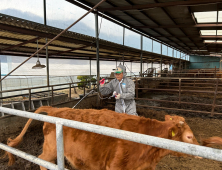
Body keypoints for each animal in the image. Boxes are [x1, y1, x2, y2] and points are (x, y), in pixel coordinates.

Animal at [4, 106, 199, 170]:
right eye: (189, 136)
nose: (200, 149)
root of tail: (55, 109)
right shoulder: (115, 166)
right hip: (51, 149)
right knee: (42, 160)